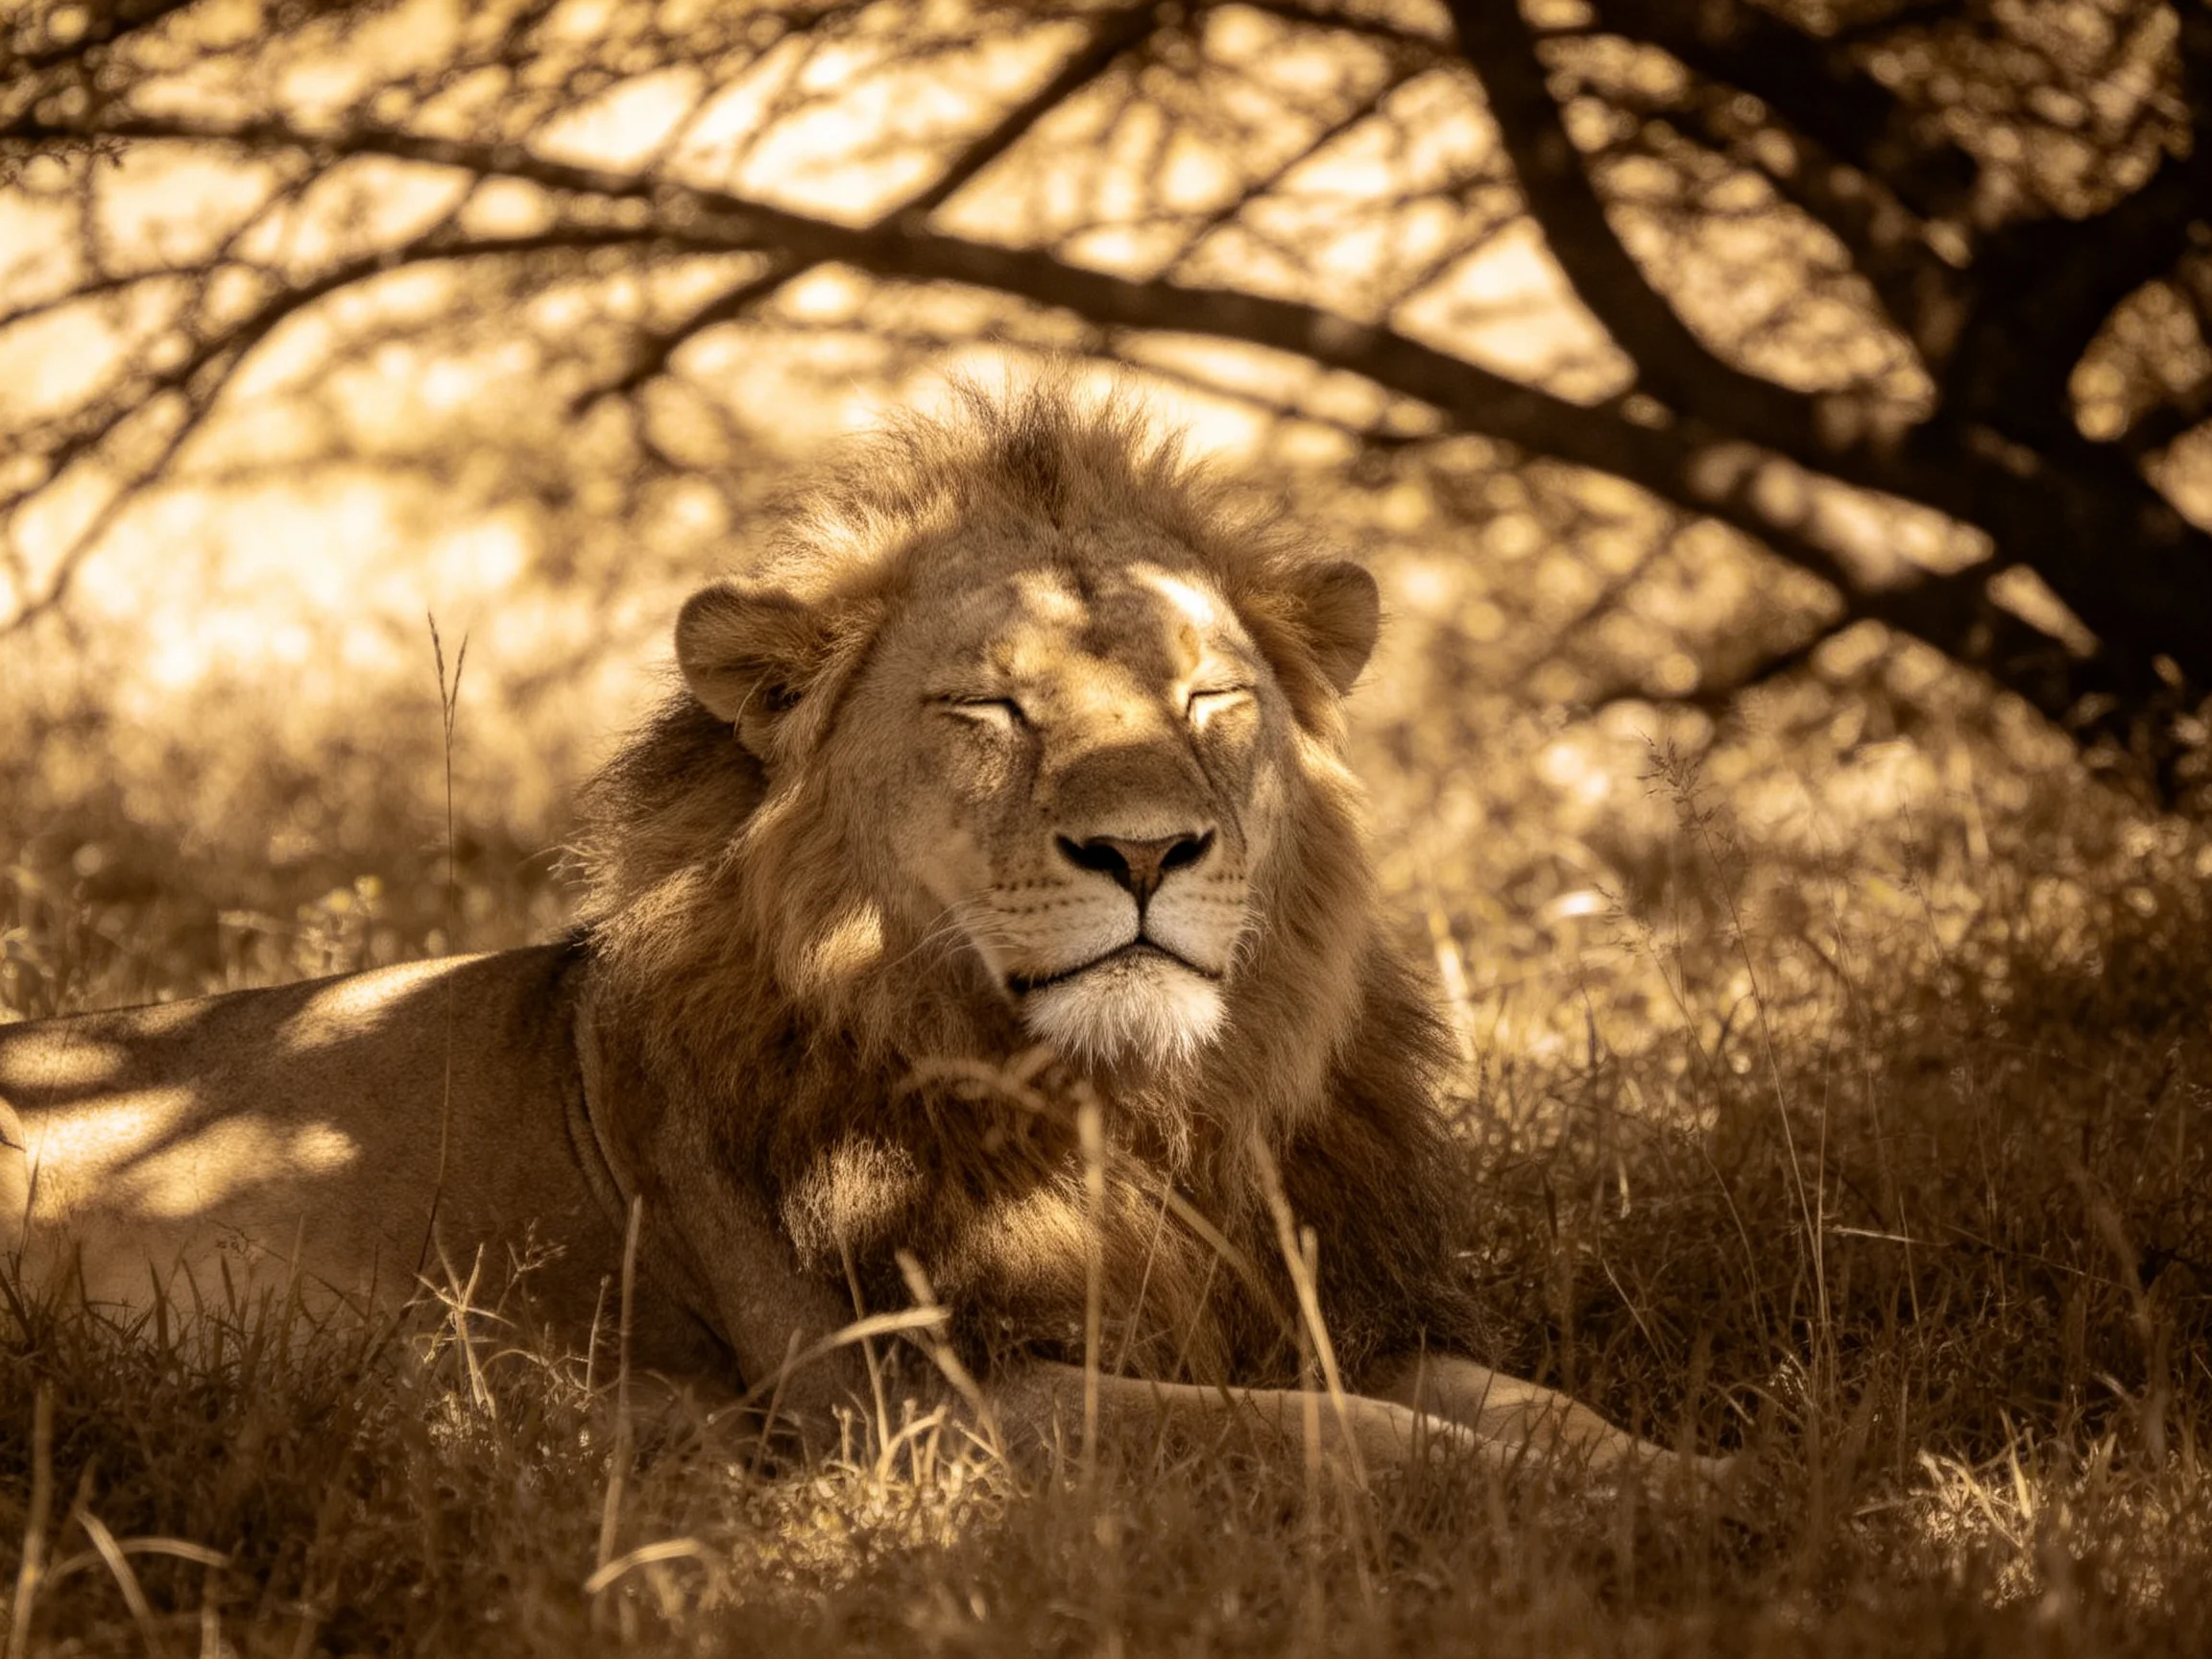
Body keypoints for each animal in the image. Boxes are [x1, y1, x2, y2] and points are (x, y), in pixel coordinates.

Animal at [0, 387, 1723, 1488]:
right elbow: (1320, 1438)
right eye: (990, 707)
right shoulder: (925, 1398)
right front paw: (1602, 1511)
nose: (1147, 849)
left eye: (1208, 697)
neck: (1126, 1112)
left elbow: (1533, 1408)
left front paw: (1712, 1484)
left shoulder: (1322, 1306)